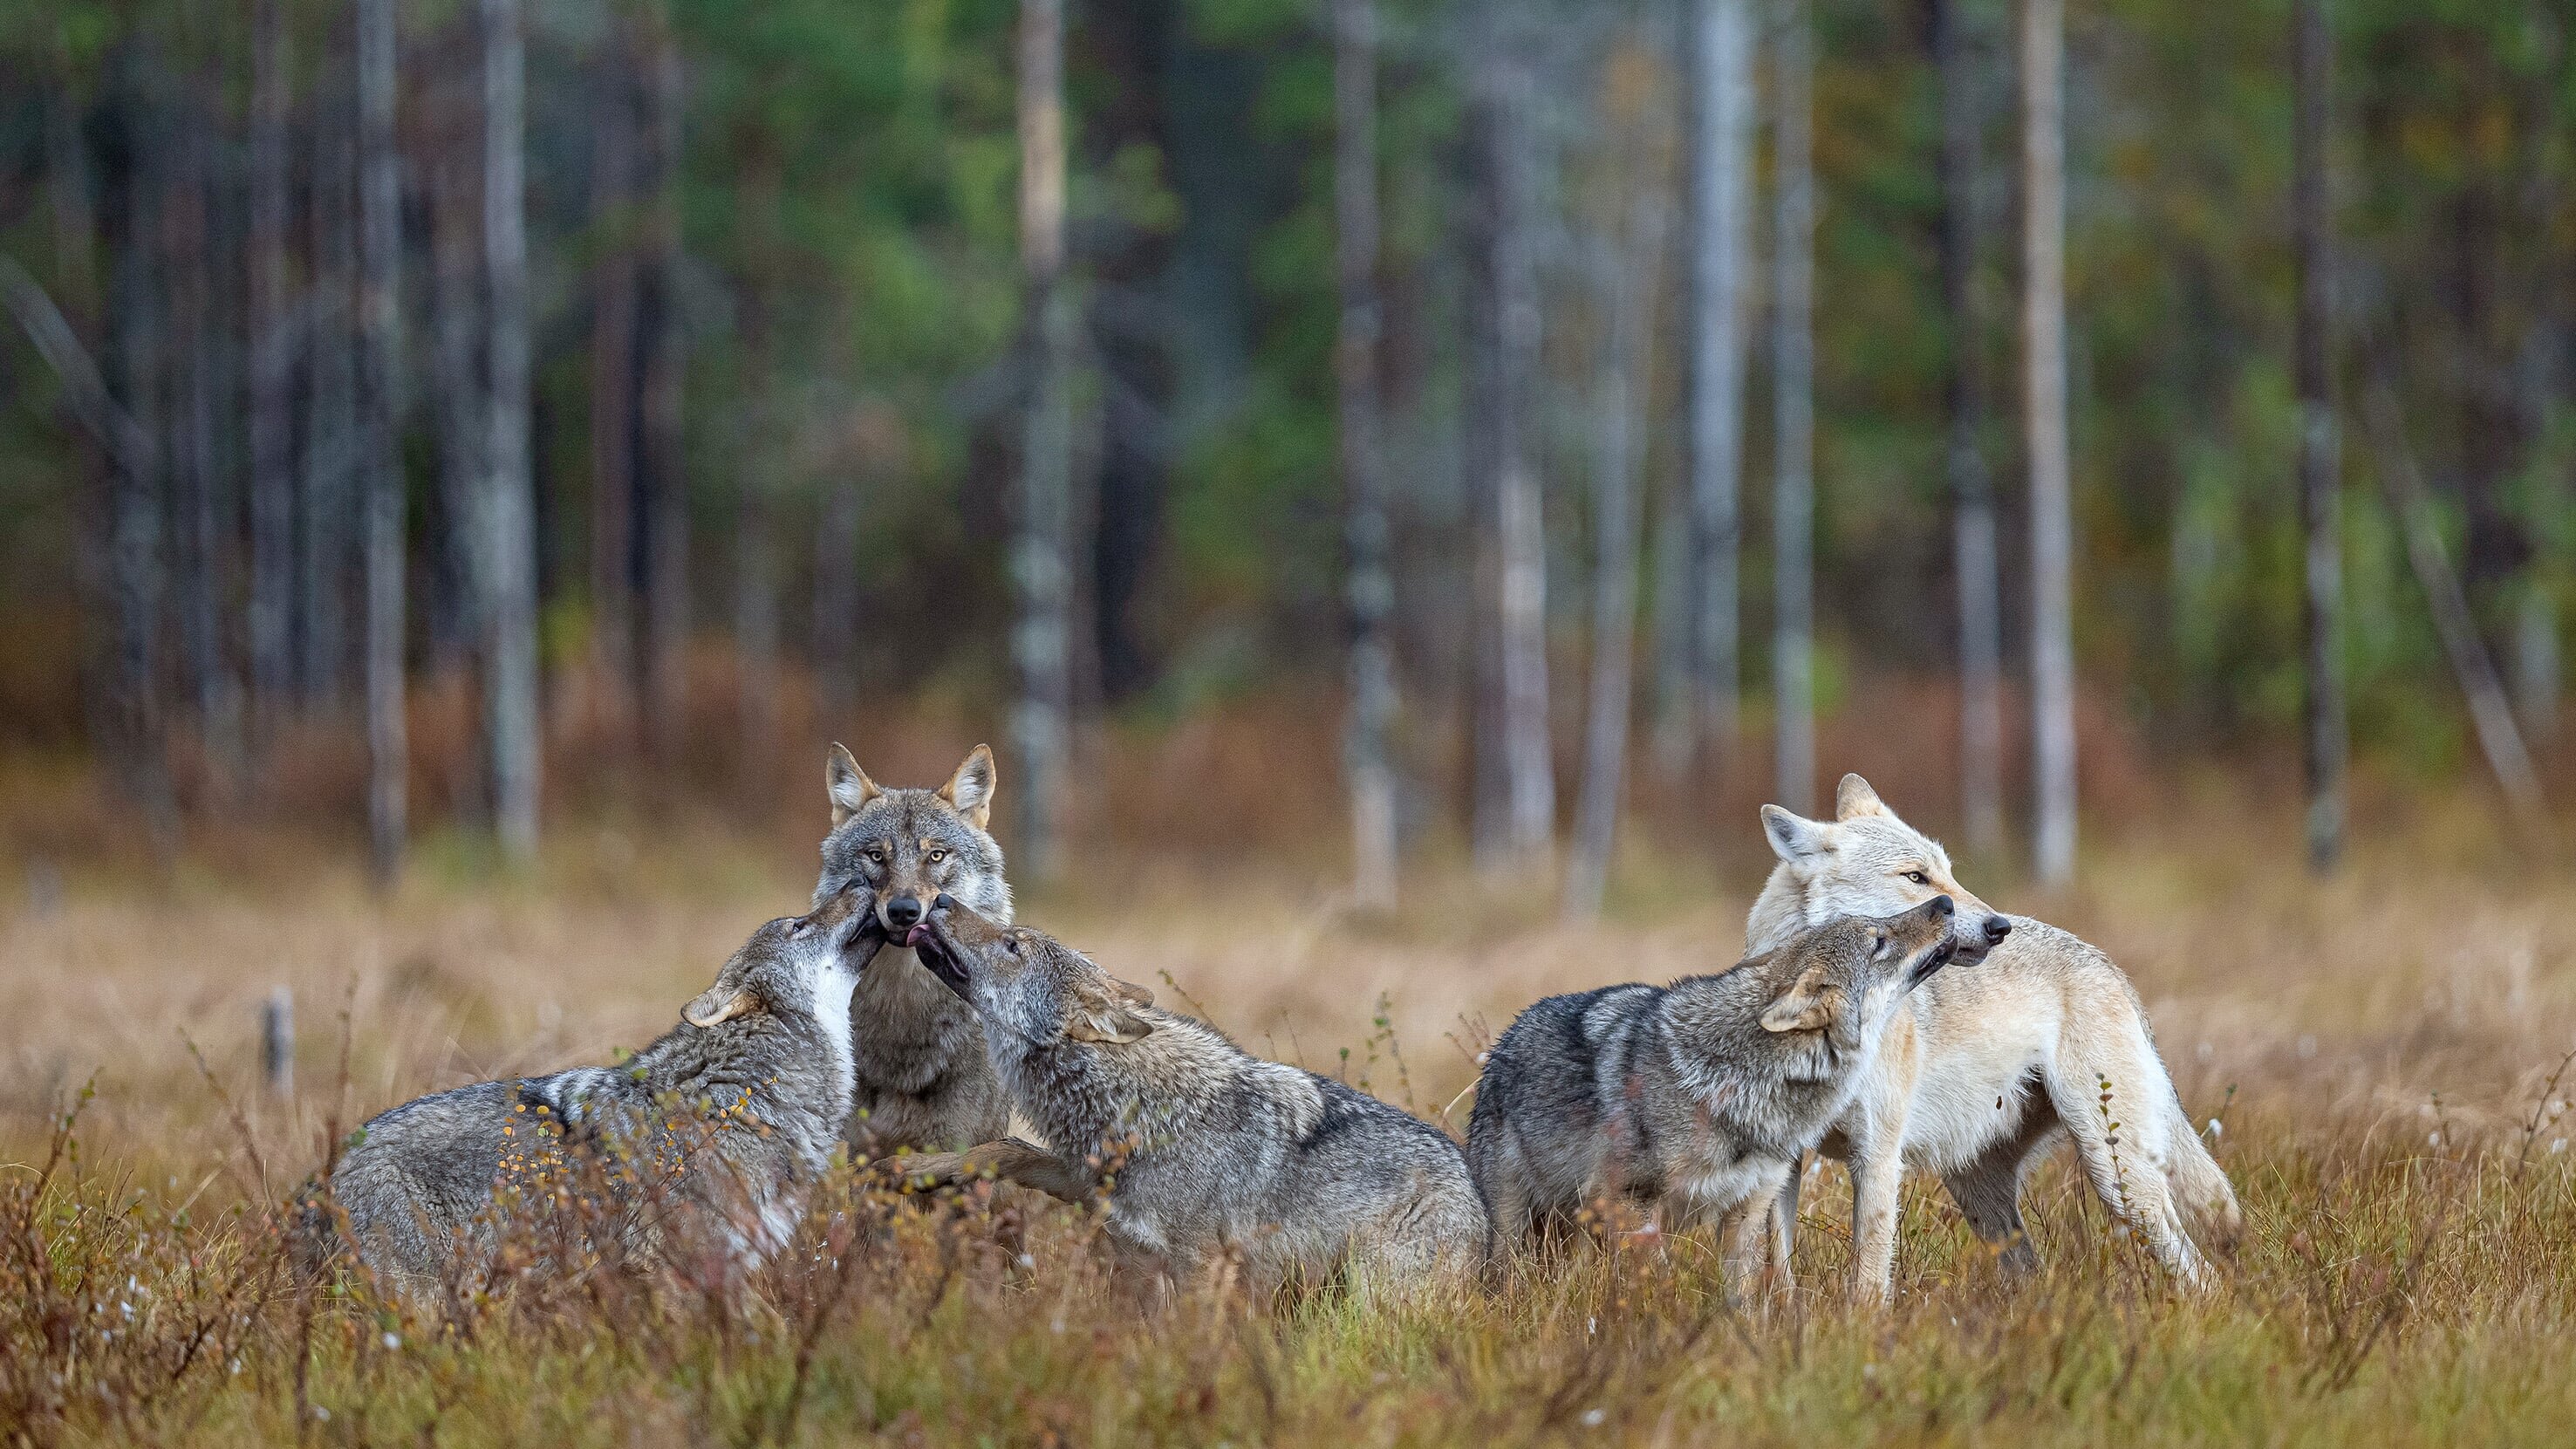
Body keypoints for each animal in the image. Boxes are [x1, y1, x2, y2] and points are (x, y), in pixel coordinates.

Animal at [896, 897, 1493, 1288]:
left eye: (1012, 944)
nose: (940, 897)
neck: (1135, 1108)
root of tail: (1479, 1200)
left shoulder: (1200, 1264)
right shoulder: (1097, 1197)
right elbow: (1005, 1149)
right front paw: (914, 1170)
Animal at [1473, 892, 1968, 1283]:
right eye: (1878, 941)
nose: (1946, 903)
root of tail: (1506, 1038)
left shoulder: (1747, 1211)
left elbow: (1743, 1300)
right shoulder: (1634, 1205)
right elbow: (1659, 1284)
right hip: (1514, 1228)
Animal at [1761, 773, 2246, 1288]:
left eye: (1949, 873)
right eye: (1915, 878)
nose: (1999, 926)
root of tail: (2108, 964)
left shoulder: (1877, 1157)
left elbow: (1868, 1283)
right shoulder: (1778, 1159)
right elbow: (1774, 1269)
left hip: (2117, 1179)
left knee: (2201, 1273)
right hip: (1981, 1192)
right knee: (2031, 1273)